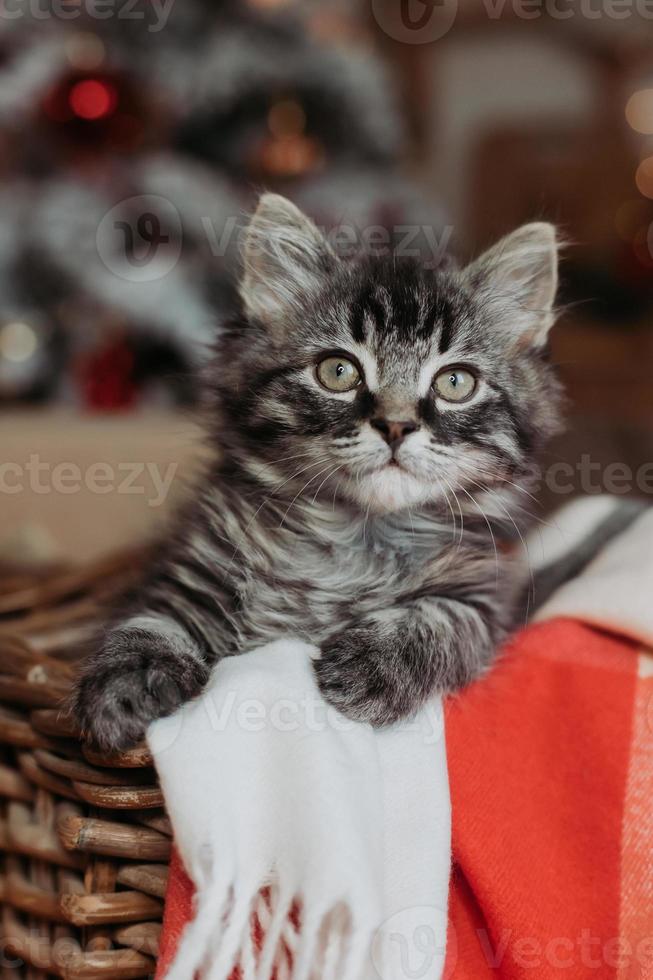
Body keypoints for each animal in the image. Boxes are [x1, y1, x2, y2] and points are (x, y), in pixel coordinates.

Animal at [72, 195, 560, 756]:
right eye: (338, 371)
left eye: (455, 382)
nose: (396, 425)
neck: (355, 539)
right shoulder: (192, 569)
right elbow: (150, 619)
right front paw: (128, 679)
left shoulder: (485, 599)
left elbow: (439, 621)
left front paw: (371, 666)